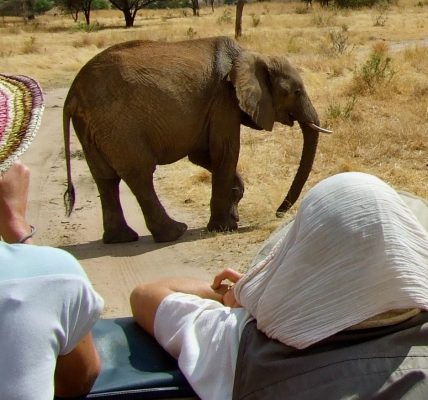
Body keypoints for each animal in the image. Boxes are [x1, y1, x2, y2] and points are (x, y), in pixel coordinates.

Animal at [63, 36, 332, 244]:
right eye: (296, 92)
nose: (278, 213)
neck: (252, 55)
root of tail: (72, 94)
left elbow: (203, 155)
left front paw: (232, 214)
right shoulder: (224, 99)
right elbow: (225, 152)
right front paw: (223, 228)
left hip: (92, 128)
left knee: (105, 178)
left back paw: (121, 239)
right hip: (119, 125)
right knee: (139, 175)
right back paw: (174, 232)